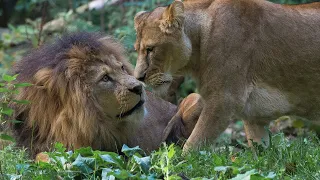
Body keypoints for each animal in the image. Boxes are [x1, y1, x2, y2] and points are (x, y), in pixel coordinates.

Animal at [134, 0, 320, 150]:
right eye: (137, 49)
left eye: (150, 49)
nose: (138, 78)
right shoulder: (254, 116)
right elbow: (261, 155)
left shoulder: (224, 99)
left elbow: (192, 145)